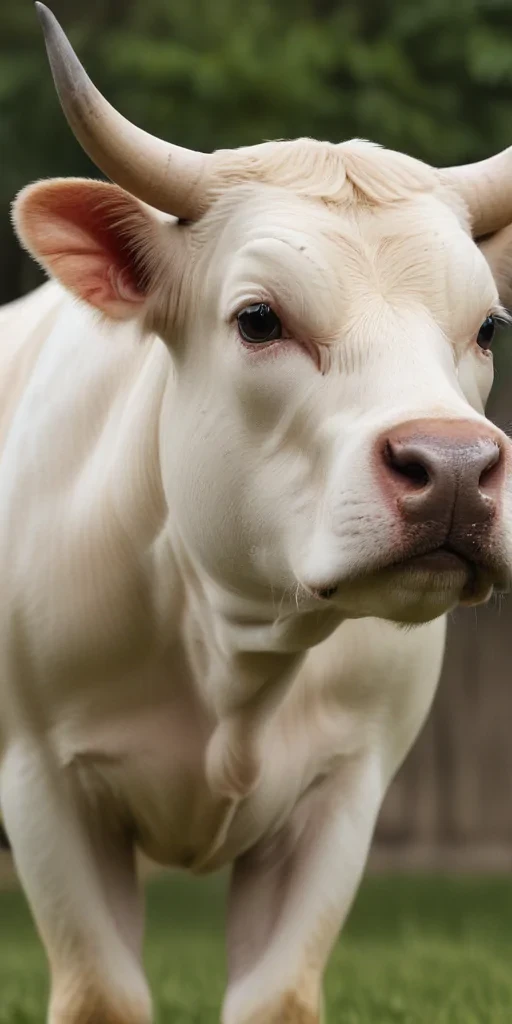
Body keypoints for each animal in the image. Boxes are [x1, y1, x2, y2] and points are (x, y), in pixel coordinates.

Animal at [1, 4, 512, 1023]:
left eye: (486, 328)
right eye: (259, 319)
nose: (453, 470)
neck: (232, 651)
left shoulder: (347, 788)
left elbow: (277, 996)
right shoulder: (43, 782)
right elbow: (101, 993)